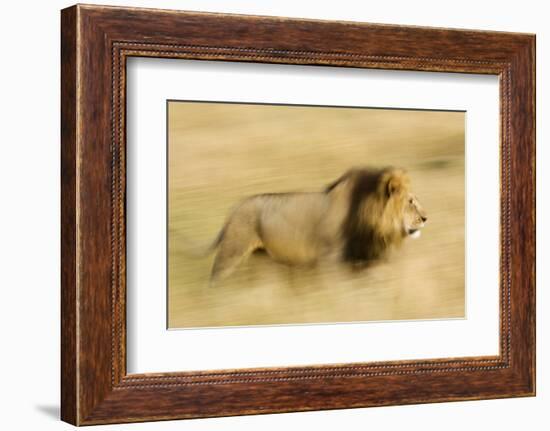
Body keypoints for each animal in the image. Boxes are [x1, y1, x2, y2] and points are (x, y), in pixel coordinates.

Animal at [196, 168, 430, 284]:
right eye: (410, 201)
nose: (426, 218)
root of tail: (234, 208)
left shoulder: (364, 258)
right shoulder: (332, 260)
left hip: (264, 259)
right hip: (232, 252)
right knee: (215, 279)